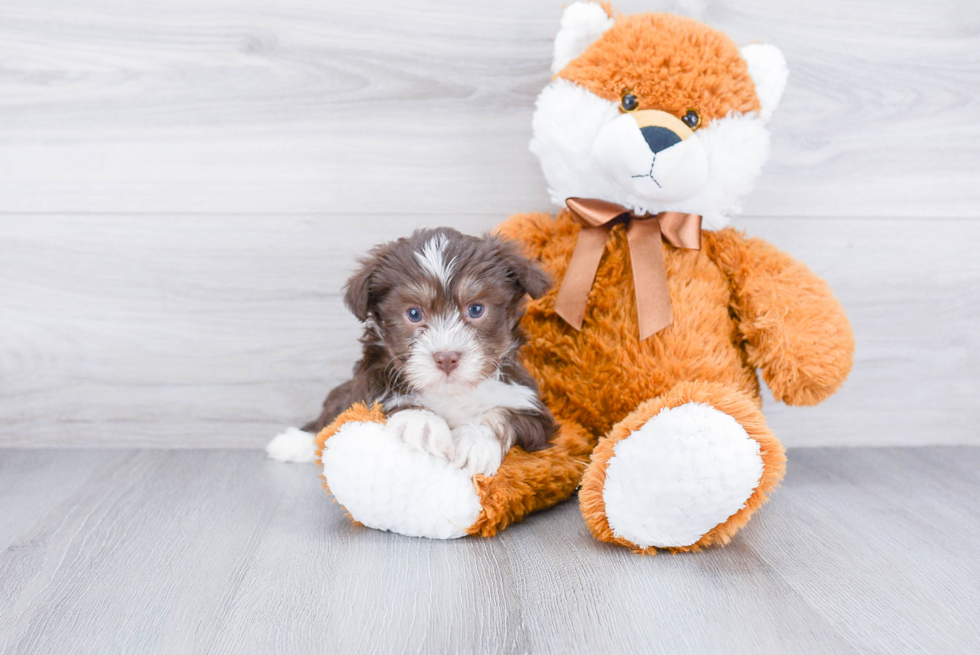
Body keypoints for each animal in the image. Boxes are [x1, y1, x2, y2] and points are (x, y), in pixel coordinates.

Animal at [266, 229, 560, 476]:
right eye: (414, 313)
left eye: (476, 309)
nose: (446, 358)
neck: (450, 392)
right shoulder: (366, 387)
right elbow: (381, 400)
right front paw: (423, 423)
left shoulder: (533, 411)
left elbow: (504, 414)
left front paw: (475, 441)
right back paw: (293, 442)